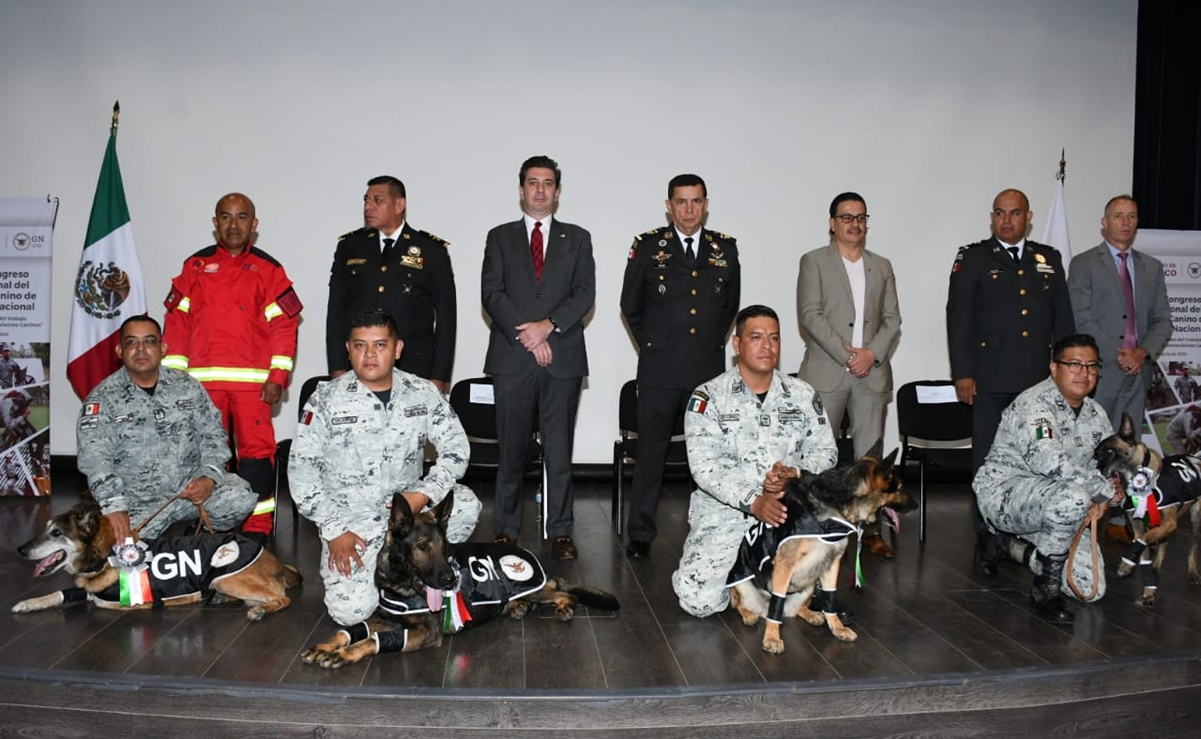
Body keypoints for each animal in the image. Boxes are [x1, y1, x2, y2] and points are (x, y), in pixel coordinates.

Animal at [12, 497, 302, 624]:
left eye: (56, 533)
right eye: (46, 529)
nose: (21, 550)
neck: (105, 556)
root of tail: (277, 562)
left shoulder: (119, 601)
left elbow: (96, 602)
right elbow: (58, 593)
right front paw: (28, 603)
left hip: (228, 579)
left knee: (282, 598)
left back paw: (260, 610)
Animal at [302, 492, 619, 672]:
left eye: (446, 548)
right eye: (423, 546)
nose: (451, 579)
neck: (402, 581)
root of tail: (528, 555)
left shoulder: (424, 633)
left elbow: (371, 641)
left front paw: (344, 654)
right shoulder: (385, 618)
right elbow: (354, 630)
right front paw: (327, 646)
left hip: (535, 588)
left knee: (566, 594)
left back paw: (562, 607)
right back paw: (517, 608)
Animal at [725, 451, 912, 653]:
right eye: (900, 488)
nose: (916, 505)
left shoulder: (832, 563)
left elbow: (830, 597)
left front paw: (837, 628)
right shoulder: (784, 565)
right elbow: (776, 604)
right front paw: (772, 638)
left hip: (809, 584)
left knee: (796, 609)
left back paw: (811, 614)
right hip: (742, 584)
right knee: (741, 604)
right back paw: (749, 615)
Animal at [1100, 410, 1201, 608]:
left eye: (1109, 451)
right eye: (1096, 454)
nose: (1098, 469)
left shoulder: (1167, 523)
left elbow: (1144, 540)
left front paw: (1126, 565)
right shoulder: (1140, 526)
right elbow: (1144, 548)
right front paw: (1148, 591)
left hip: (1196, 519)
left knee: (1192, 545)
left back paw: (1192, 572)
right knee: (1163, 543)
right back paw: (1155, 569)